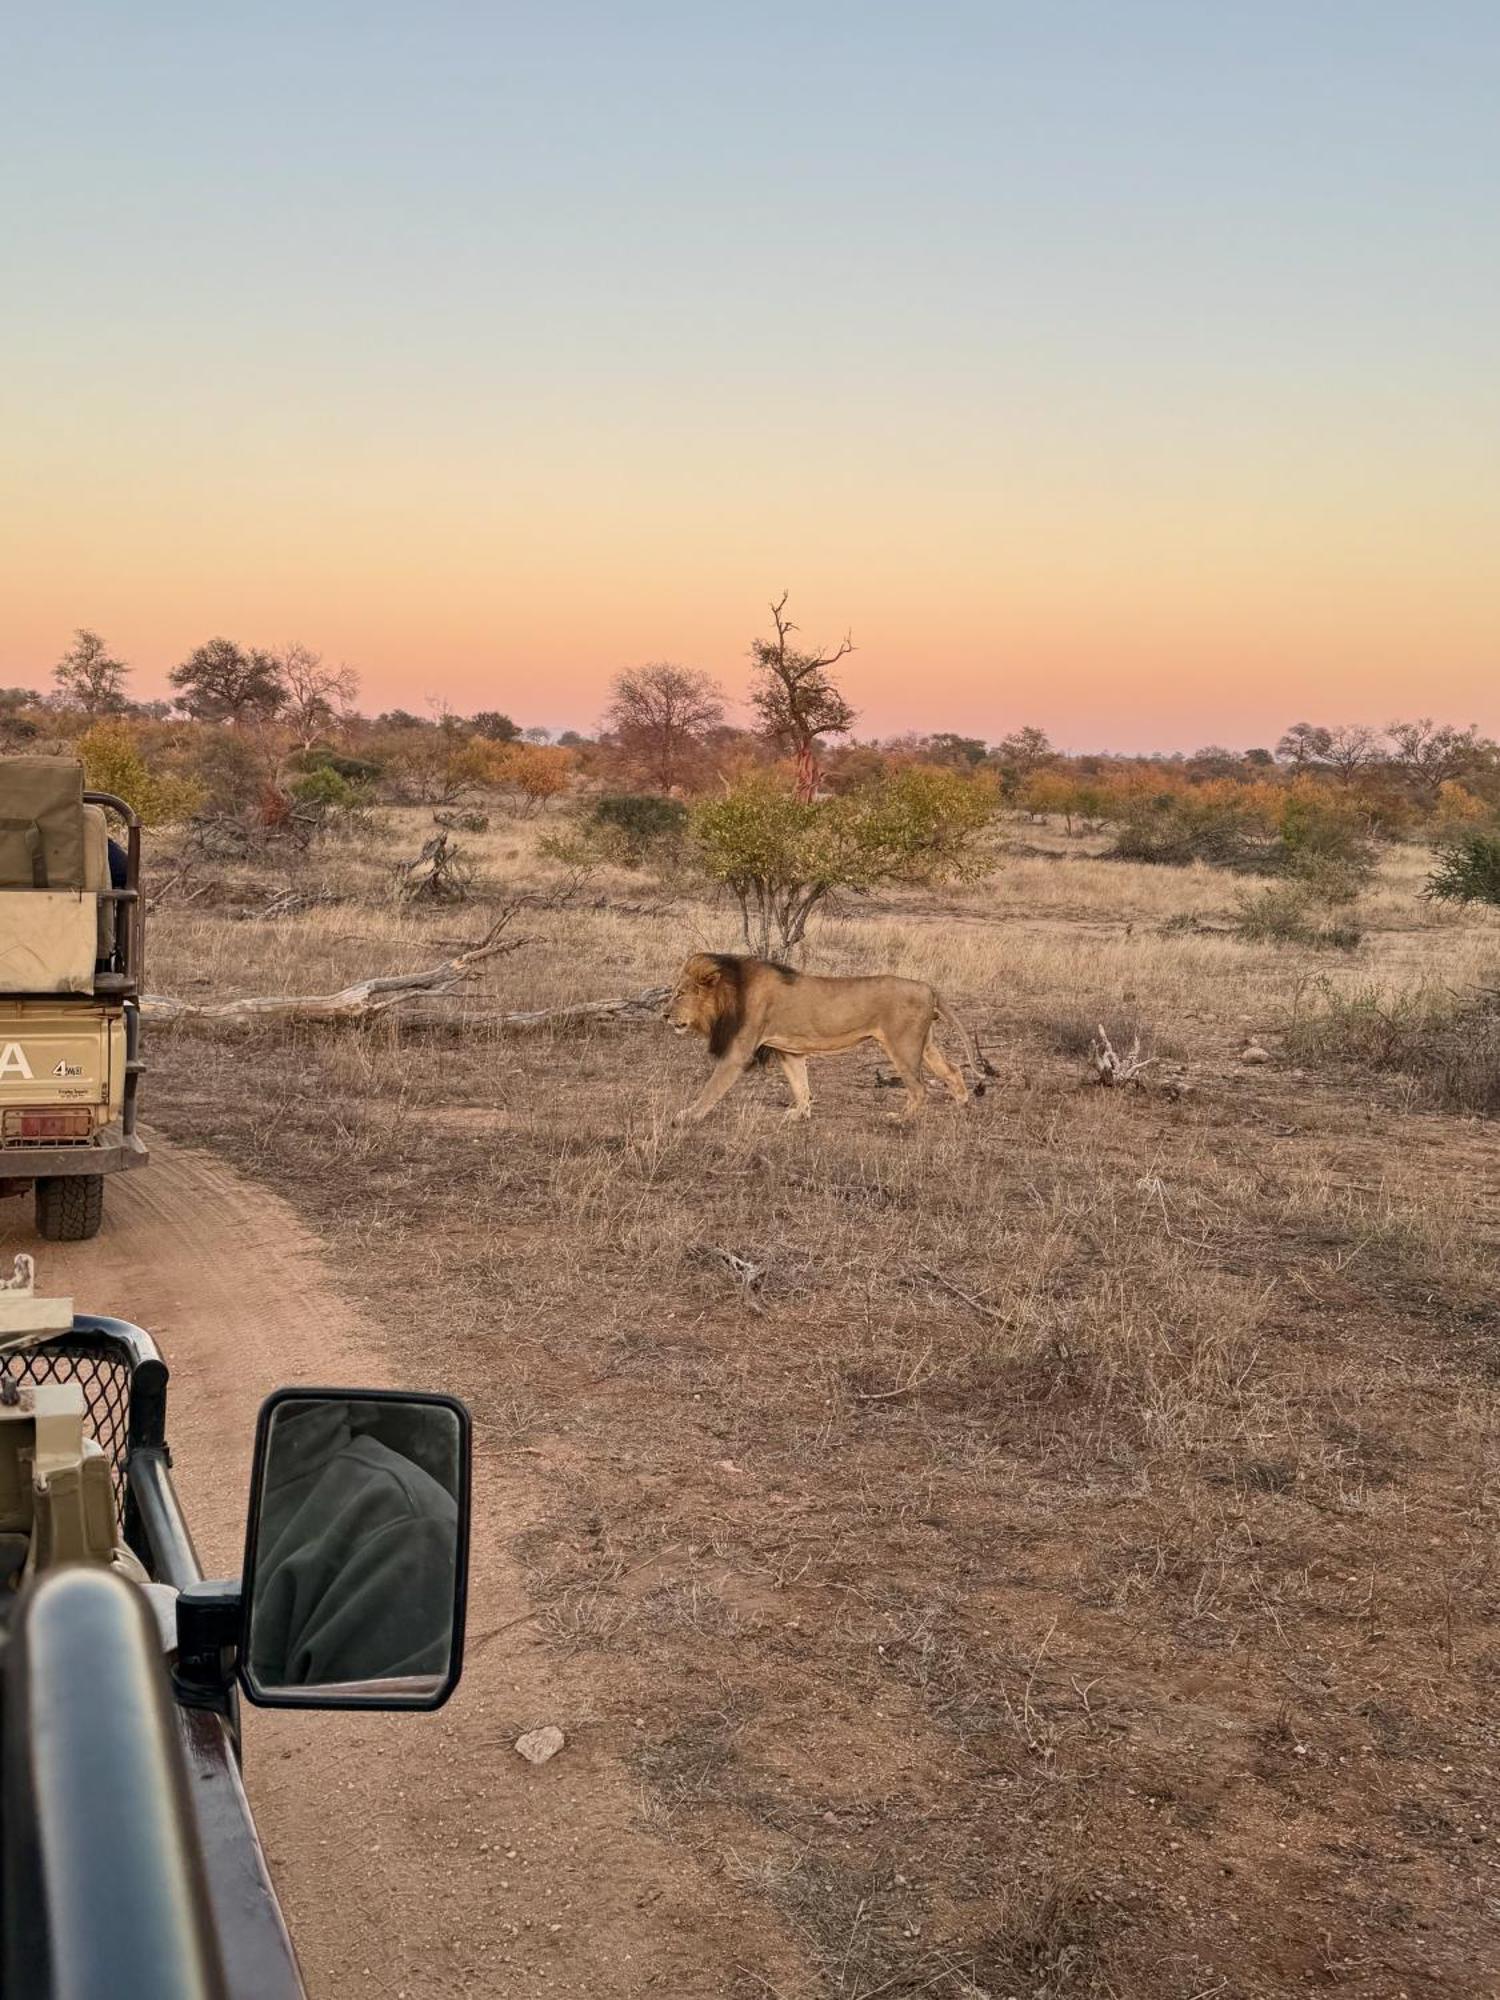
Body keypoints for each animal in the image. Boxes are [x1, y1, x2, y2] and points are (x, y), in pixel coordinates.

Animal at [668, 952, 1000, 1128]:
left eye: (680, 994)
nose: (664, 1015)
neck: (729, 994)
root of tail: (927, 986)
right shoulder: (789, 1051)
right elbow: (800, 1085)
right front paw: (799, 1114)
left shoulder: (738, 1052)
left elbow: (712, 1088)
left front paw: (687, 1116)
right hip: (925, 1044)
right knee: (952, 1070)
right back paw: (961, 1106)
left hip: (901, 1046)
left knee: (919, 1089)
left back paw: (899, 1119)